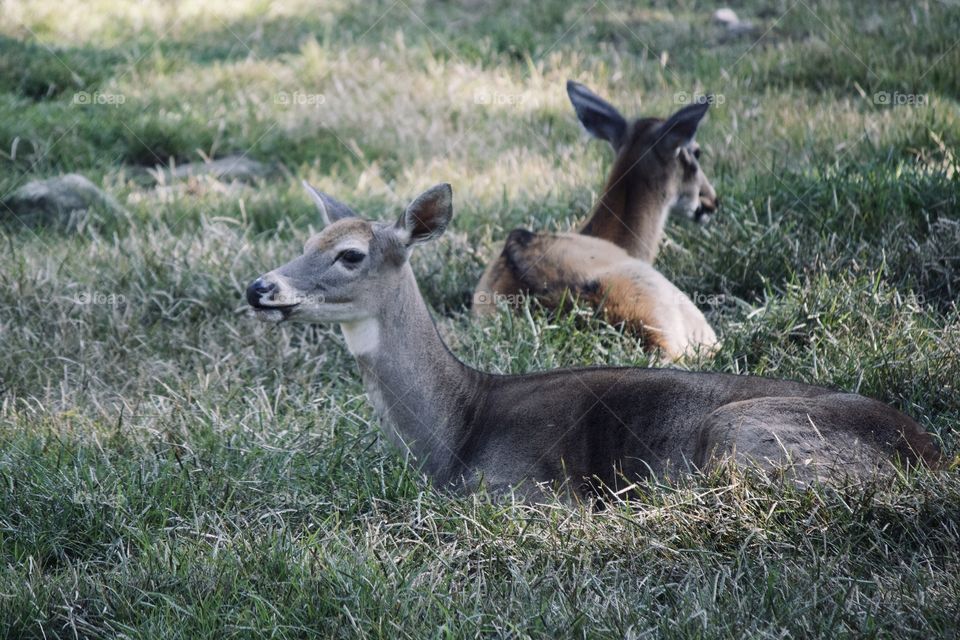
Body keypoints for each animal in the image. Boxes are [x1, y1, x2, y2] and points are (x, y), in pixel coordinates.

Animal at [244, 182, 940, 502]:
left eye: (350, 254)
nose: (259, 287)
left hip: (738, 436)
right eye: (307, 242)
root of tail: (928, 454)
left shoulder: (521, 486)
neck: (456, 429)